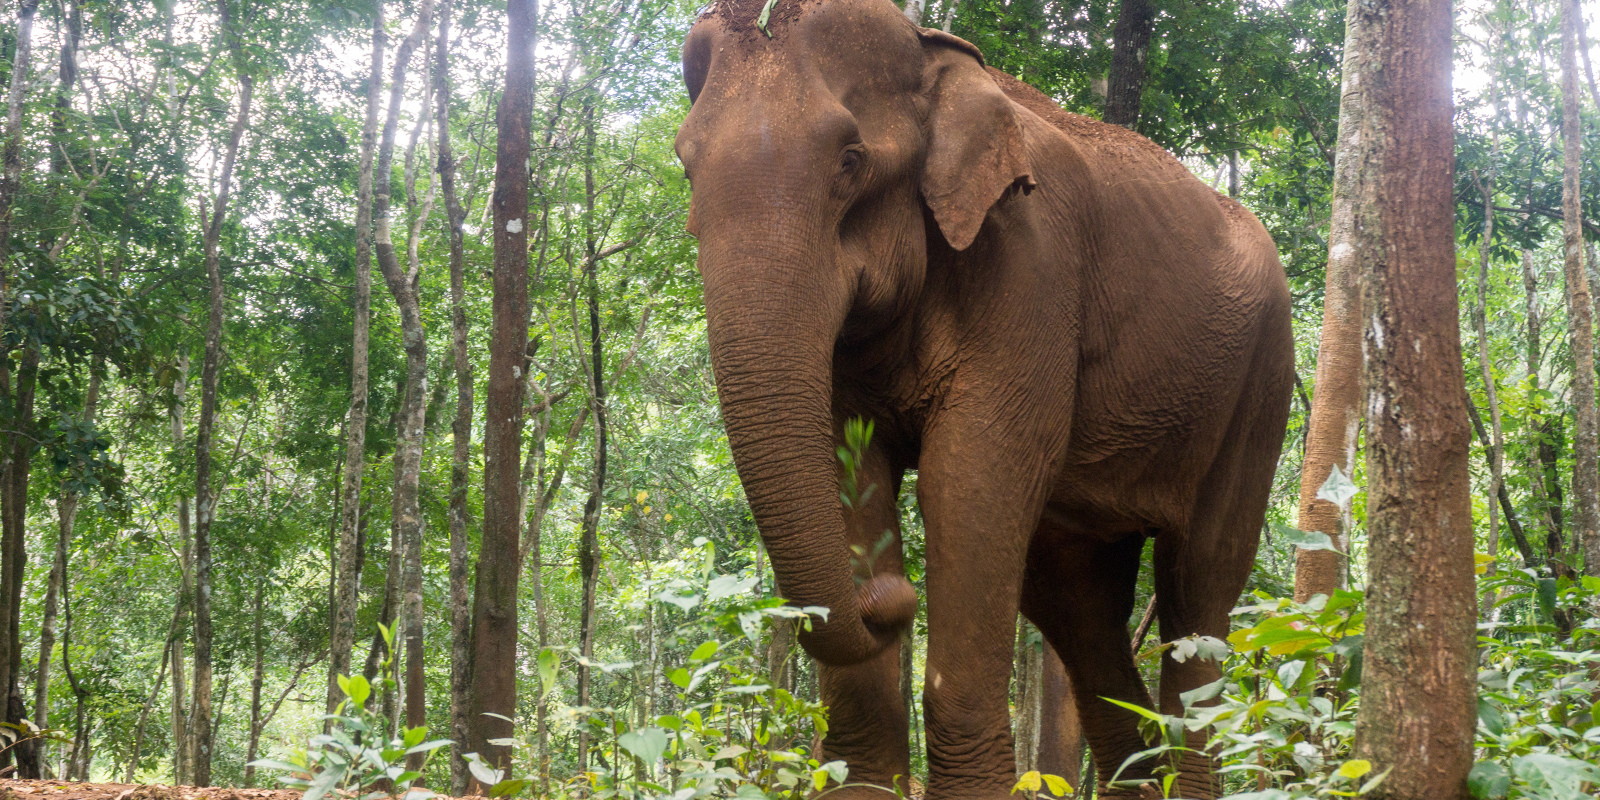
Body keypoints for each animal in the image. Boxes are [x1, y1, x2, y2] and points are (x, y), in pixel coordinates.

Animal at [668, 0, 1292, 796]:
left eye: (850, 160)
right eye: (686, 165)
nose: (888, 595)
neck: (936, 60)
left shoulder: (1031, 264)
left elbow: (969, 478)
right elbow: (851, 470)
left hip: (1261, 384)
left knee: (1199, 585)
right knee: (1078, 607)